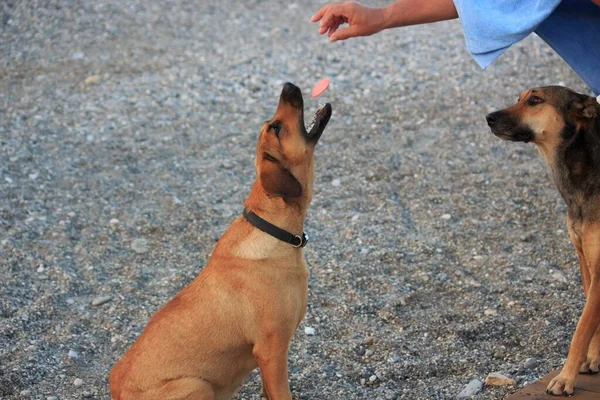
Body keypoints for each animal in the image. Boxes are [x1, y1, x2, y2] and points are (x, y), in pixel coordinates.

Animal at [488, 86, 600, 396]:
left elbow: (581, 329)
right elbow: (593, 322)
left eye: (535, 100)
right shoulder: (585, 261)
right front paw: (594, 358)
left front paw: (565, 378)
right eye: (518, 98)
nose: (489, 117)